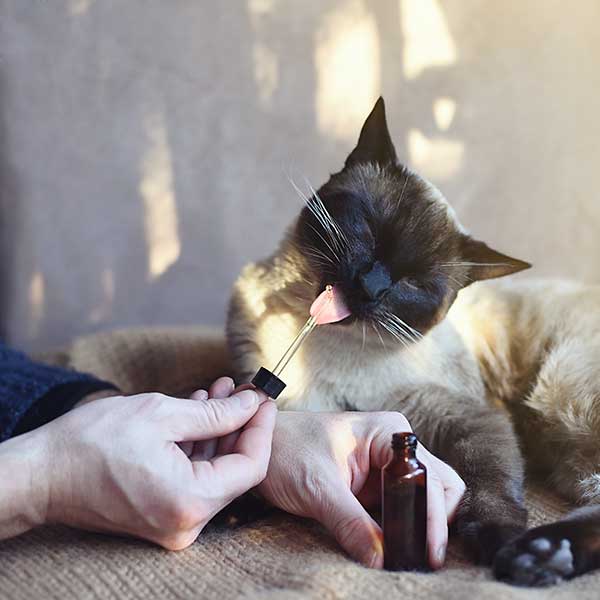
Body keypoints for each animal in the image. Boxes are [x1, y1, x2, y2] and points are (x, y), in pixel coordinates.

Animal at [226, 97, 600, 584]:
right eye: (369, 229)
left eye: (414, 283)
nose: (370, 286)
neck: (324, 349)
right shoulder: (284, 399)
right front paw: (235, 505)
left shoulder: (472, 419)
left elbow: (490, 483)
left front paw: (492, 537)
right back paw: (546, 557)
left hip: (560, 393)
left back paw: (532, 555)